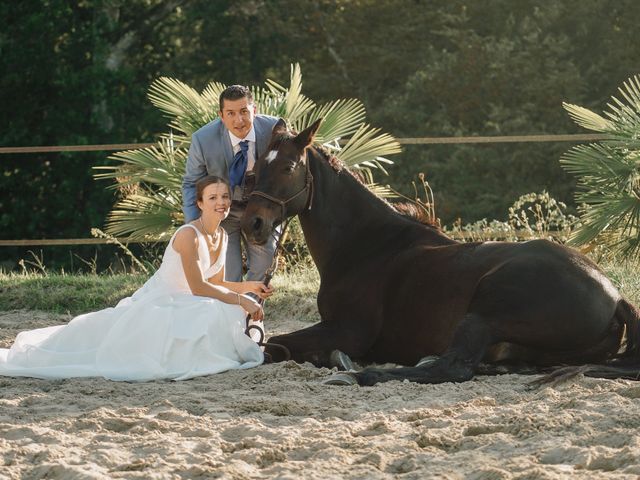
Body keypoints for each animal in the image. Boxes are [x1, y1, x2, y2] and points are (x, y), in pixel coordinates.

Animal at [240, 119, 640, 386]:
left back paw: (361, 375)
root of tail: (615, 296)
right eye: (256, 167)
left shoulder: (348, 329)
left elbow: (274, 344)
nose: (253, 223)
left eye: (288, 167)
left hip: (484, 312)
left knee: (454, 367)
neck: (366, 244)